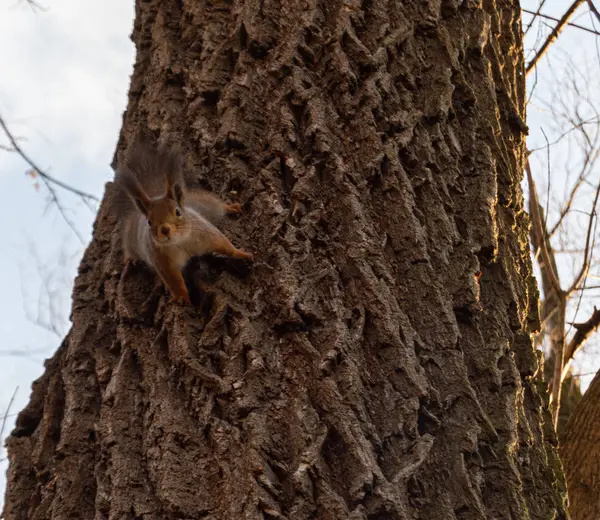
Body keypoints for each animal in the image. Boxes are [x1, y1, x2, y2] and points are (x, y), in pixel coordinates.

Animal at [115, 140, 253, 306]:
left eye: (177, 212)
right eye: (149, 221)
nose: (165, 230)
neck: (180, 241)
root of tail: (155, 194)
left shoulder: (206, 232)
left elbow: (224, 244)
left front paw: (241, 253)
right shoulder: (162, 260)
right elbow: (174, 281)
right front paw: (181, 296)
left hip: (206, 204)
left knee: (218, 206)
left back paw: (231, 207)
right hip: (131, 237)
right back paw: (130, 260)